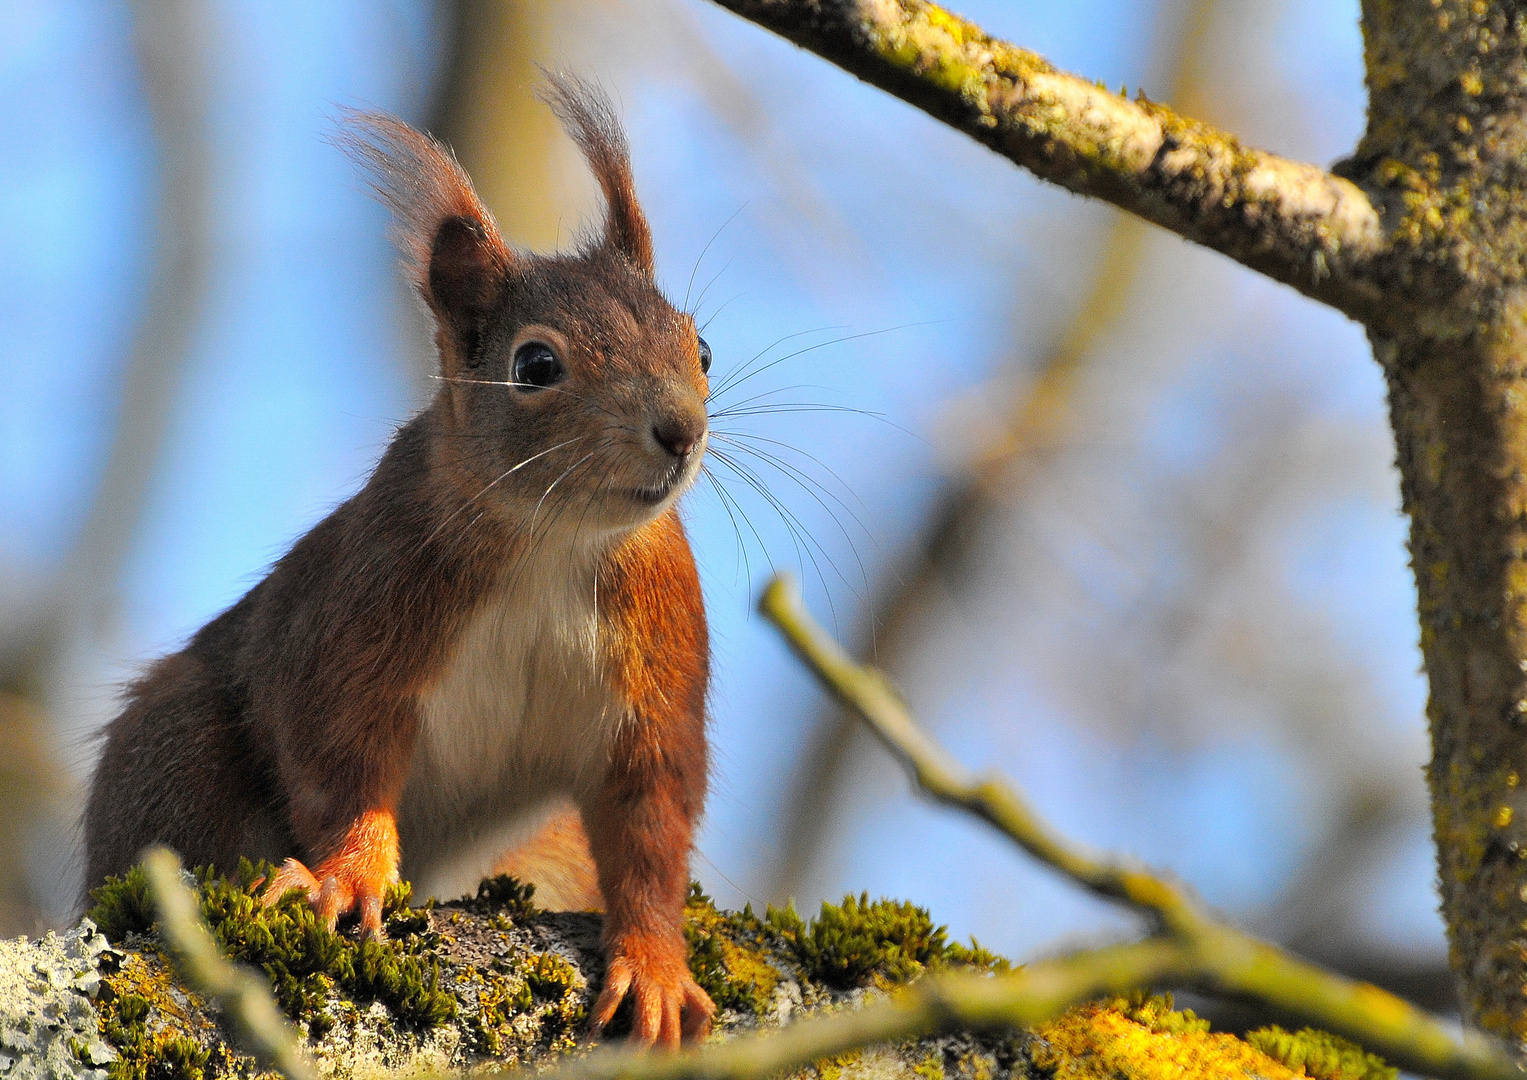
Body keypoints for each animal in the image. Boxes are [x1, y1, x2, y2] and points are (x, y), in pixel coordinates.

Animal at [86, 74, 717, 1044]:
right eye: (536, 365)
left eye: (702, 348)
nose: (679, 432)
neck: (552, 541)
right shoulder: (358, 622)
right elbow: (340, 766)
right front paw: (347, 876)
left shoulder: (655, 669)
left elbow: (650, 823)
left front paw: (652, 961)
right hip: (173, 761)